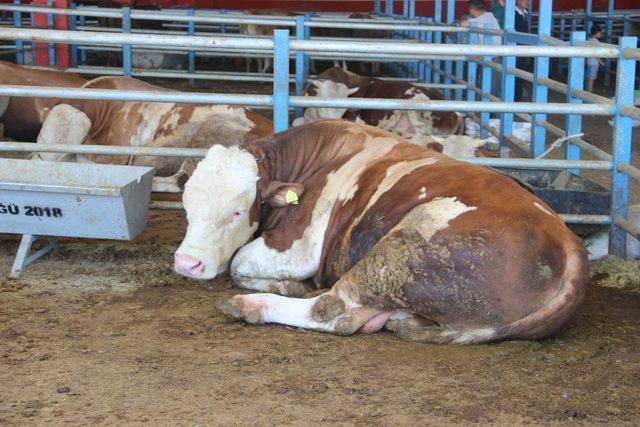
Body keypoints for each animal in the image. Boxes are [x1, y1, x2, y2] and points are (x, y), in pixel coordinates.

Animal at [172, 119, 588, 344]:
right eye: (187, 205)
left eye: (237, 211)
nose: (186, 263)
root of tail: (568, 244)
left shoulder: (297, 249)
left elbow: (239, 264)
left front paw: (284, 284)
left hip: (402, 251)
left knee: (334, 311)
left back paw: (250, 306)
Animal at [292, 67, 468, 150]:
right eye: (320, 102)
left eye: (342, 108)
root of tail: (457, 114)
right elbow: (295, 123)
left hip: (415, 103)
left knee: (425, 139)